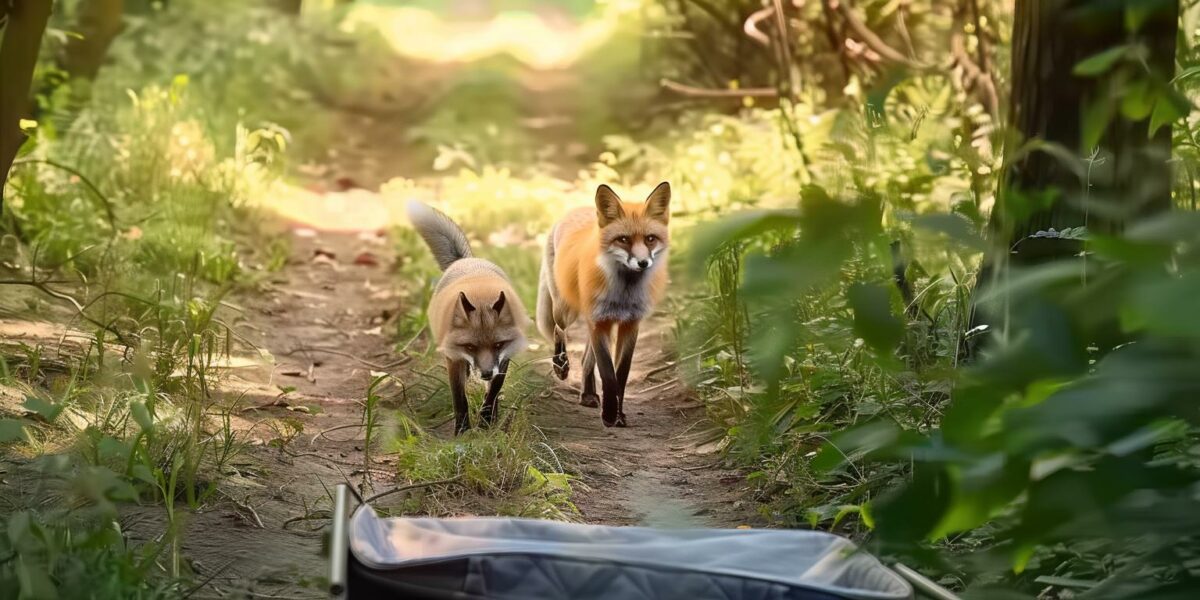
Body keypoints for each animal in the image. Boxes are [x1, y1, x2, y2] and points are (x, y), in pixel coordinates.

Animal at [537, 182, 672, 427]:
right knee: (559, 330)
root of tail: (576, 210)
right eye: (623, 239)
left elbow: (621, 376)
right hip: (566, 310)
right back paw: (560, 365)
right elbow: (608, 374)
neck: (623, 292)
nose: (643, 263)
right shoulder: (598, 321)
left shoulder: (630, 324)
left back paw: (588, 394)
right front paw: (609, 415)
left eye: (650, 239)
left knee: (585, 358)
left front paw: (618, 414)